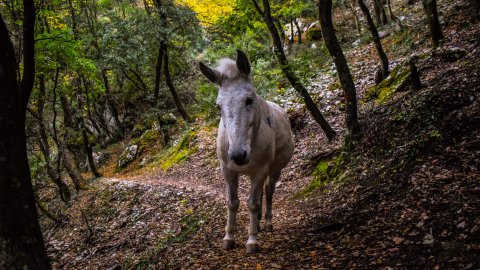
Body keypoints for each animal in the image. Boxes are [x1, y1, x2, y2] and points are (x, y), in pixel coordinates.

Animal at [198, 50, 292, 253]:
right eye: (218, 106)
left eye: (249, 100)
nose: (237, 155)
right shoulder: (228, 171)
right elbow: (233, 203)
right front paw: (229, 237)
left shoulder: (260, 171)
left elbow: (252, 204)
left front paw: (252, 241)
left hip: (274, 170)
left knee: (269, 191)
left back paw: (266, 224)